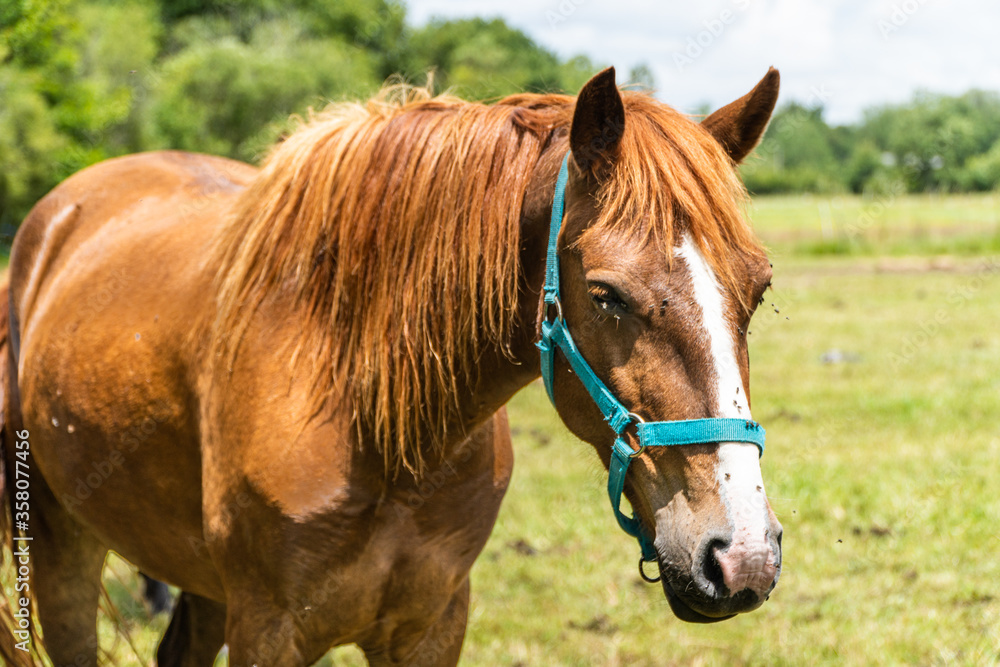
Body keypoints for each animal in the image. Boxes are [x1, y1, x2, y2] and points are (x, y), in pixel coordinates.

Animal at [0, 65, 783, 665]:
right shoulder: (267, 629)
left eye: (759, 287)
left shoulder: (430, 626)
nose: (743, 555)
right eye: (605, 295)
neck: (373, 422)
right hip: (57, 544)